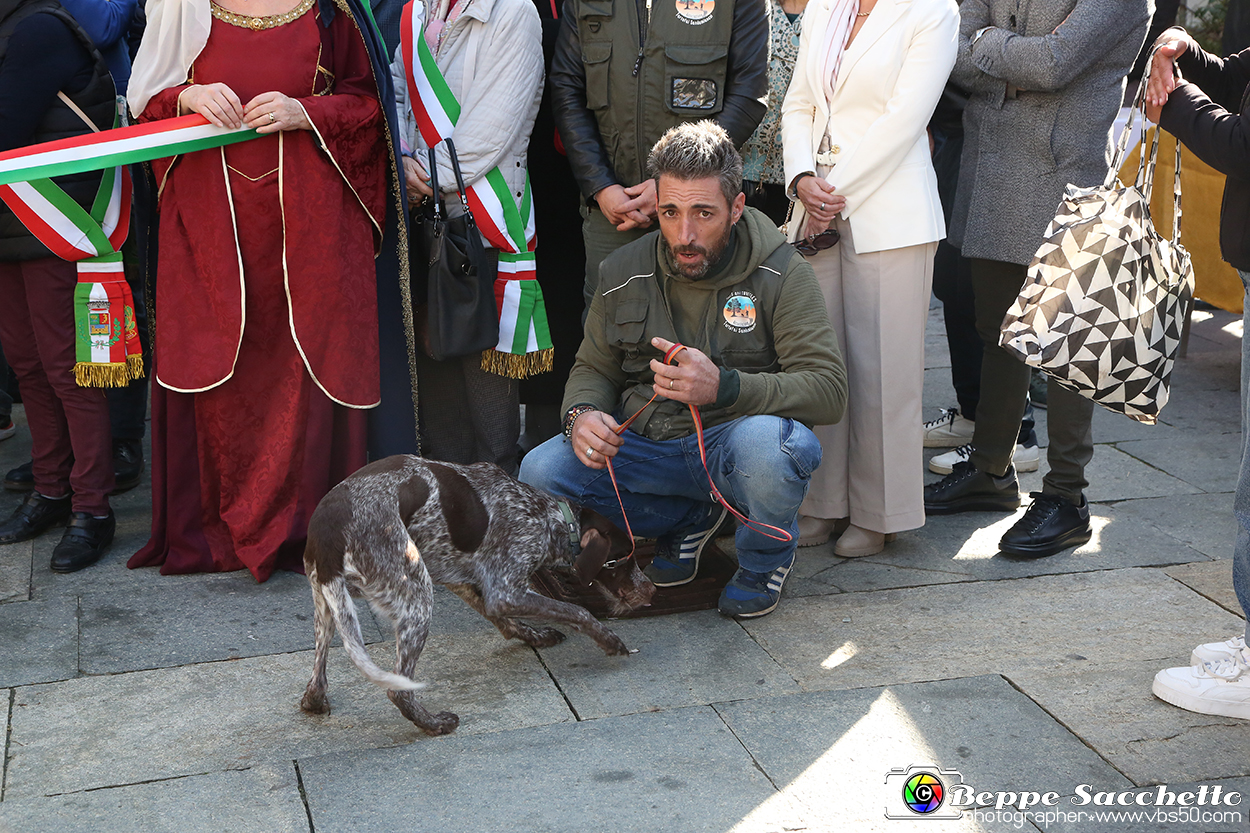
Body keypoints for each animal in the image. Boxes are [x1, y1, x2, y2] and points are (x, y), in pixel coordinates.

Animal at [300, 455, 655, 735]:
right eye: (624, 559)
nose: (651, 589)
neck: (551, 518)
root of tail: (329, 530)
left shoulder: (460, 579)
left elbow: (506, 621)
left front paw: (536, 636)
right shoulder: (505, 589)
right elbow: (576, 611)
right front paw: (608, 639)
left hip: (329, 602)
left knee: (317, 676)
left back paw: (315, 700)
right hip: (417, 595)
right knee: (398, 691)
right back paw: (434, 724)